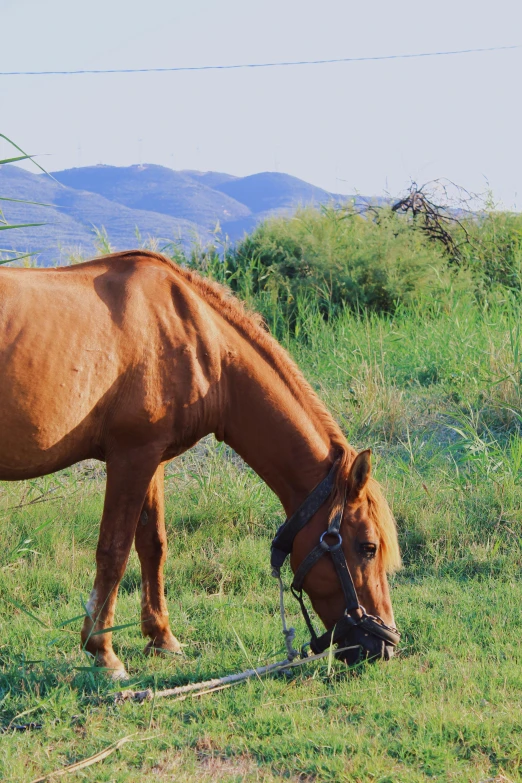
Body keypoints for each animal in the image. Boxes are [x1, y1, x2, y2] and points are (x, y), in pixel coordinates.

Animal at [0, 253, 400, 680]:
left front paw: (162, 639)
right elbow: (114, 551)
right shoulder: (130, 457)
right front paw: (102, 652)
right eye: (368, 547)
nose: (385, 645)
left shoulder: (152, 460)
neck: (192, 332)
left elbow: (152, 545)